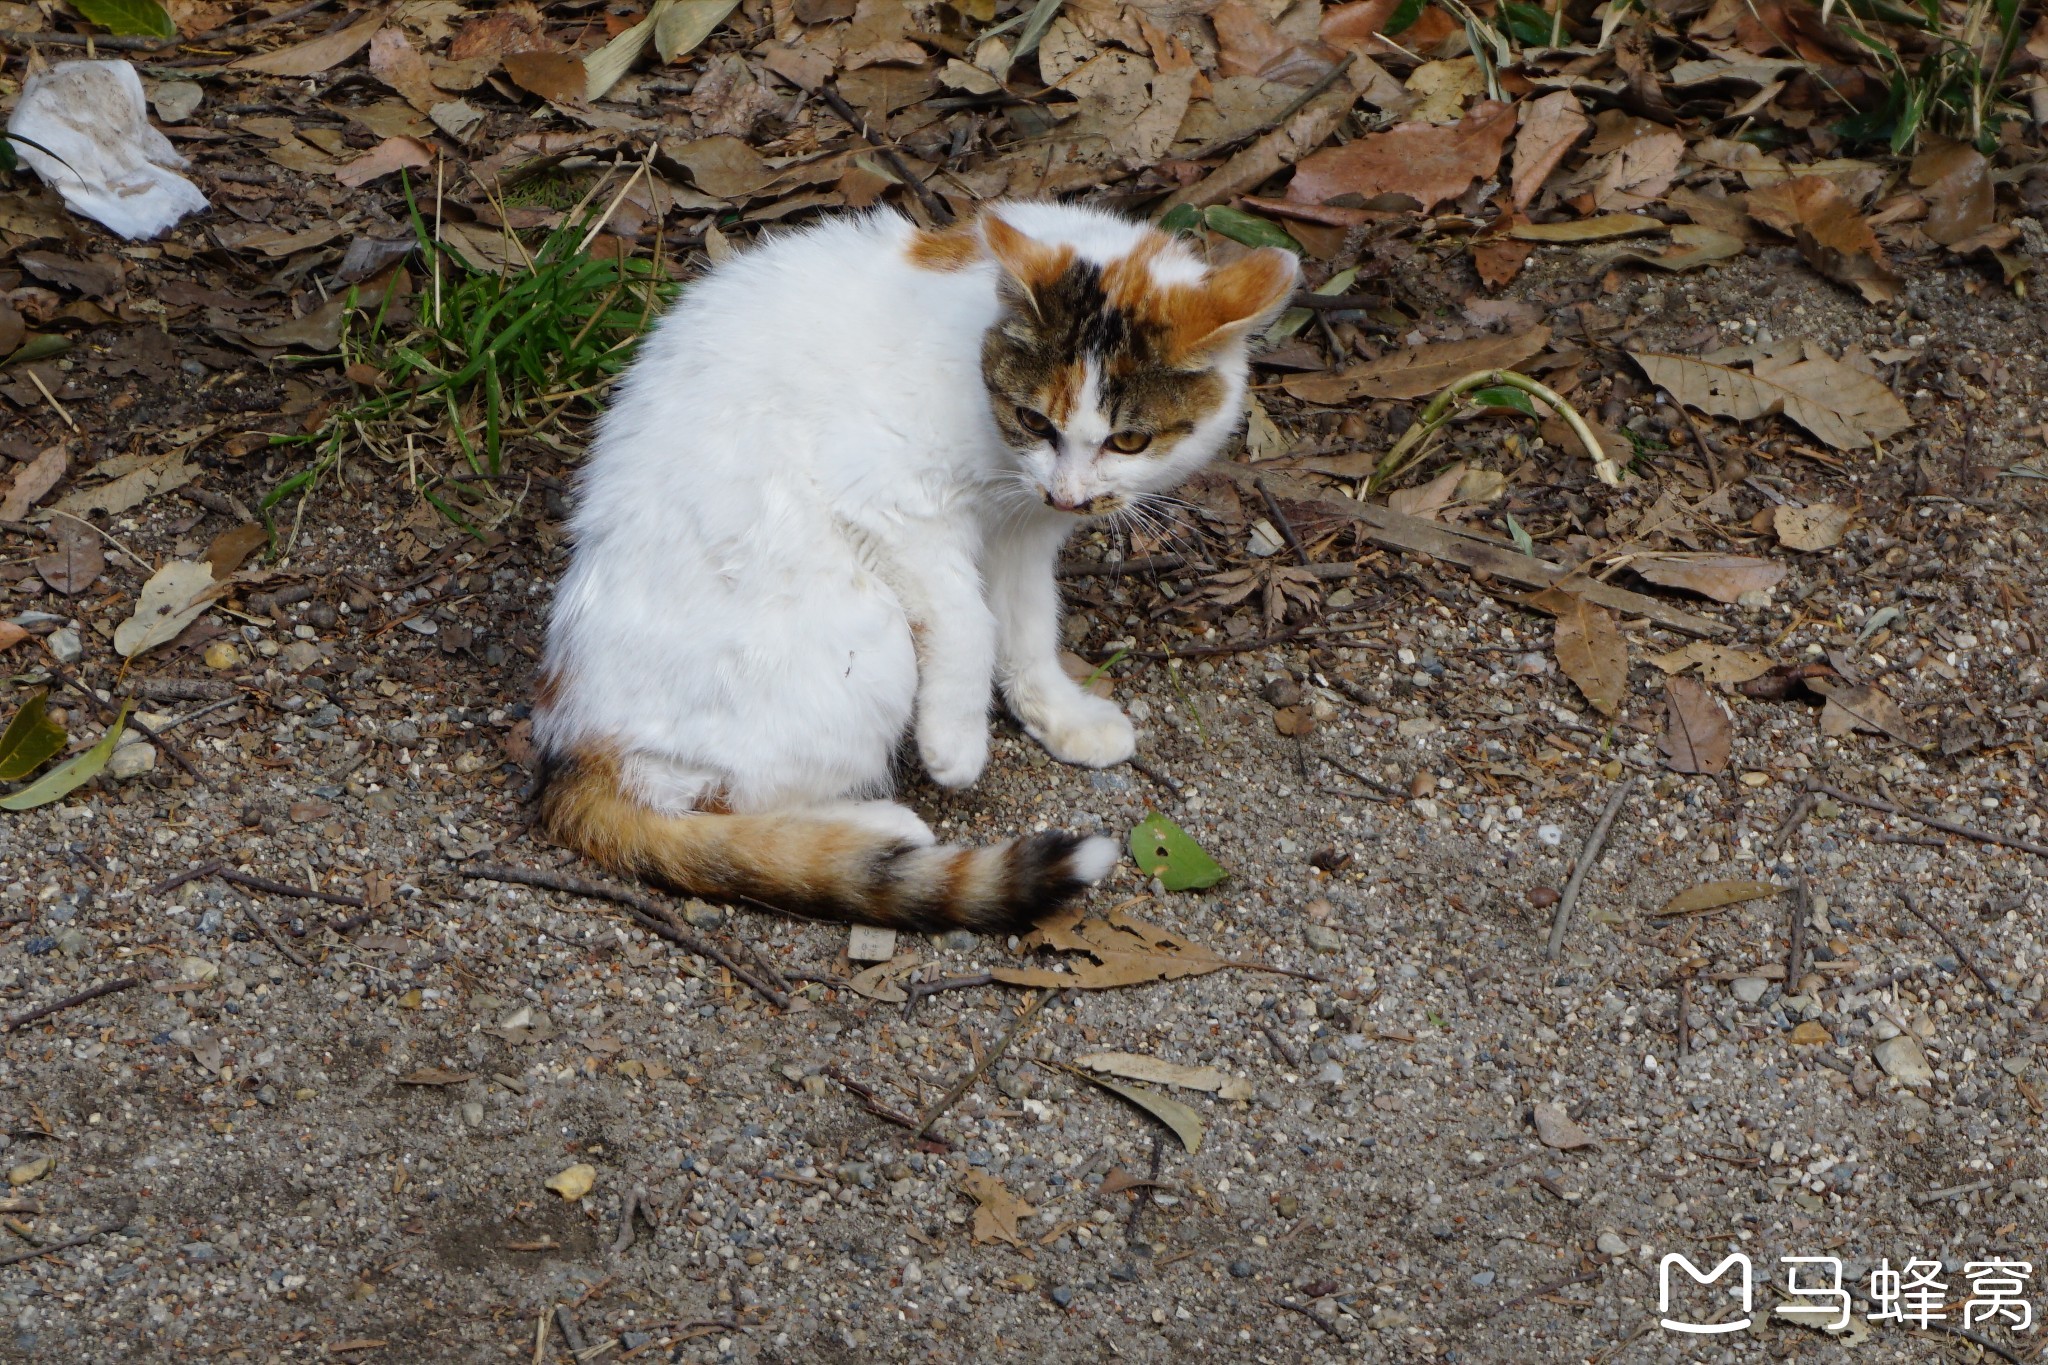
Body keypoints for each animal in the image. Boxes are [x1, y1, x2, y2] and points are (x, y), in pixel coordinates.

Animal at [532, 200, 1294, 929]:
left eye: (1129, 441)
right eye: (1035, 421)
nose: (1070, 494)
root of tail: (578, 743)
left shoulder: (1023, 530)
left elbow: (1027, 628)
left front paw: (1057, 711)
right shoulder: (891, 502)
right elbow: (970, 620)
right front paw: (956, 740)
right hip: (860, 639)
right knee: (715, 799)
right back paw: (872, 830)